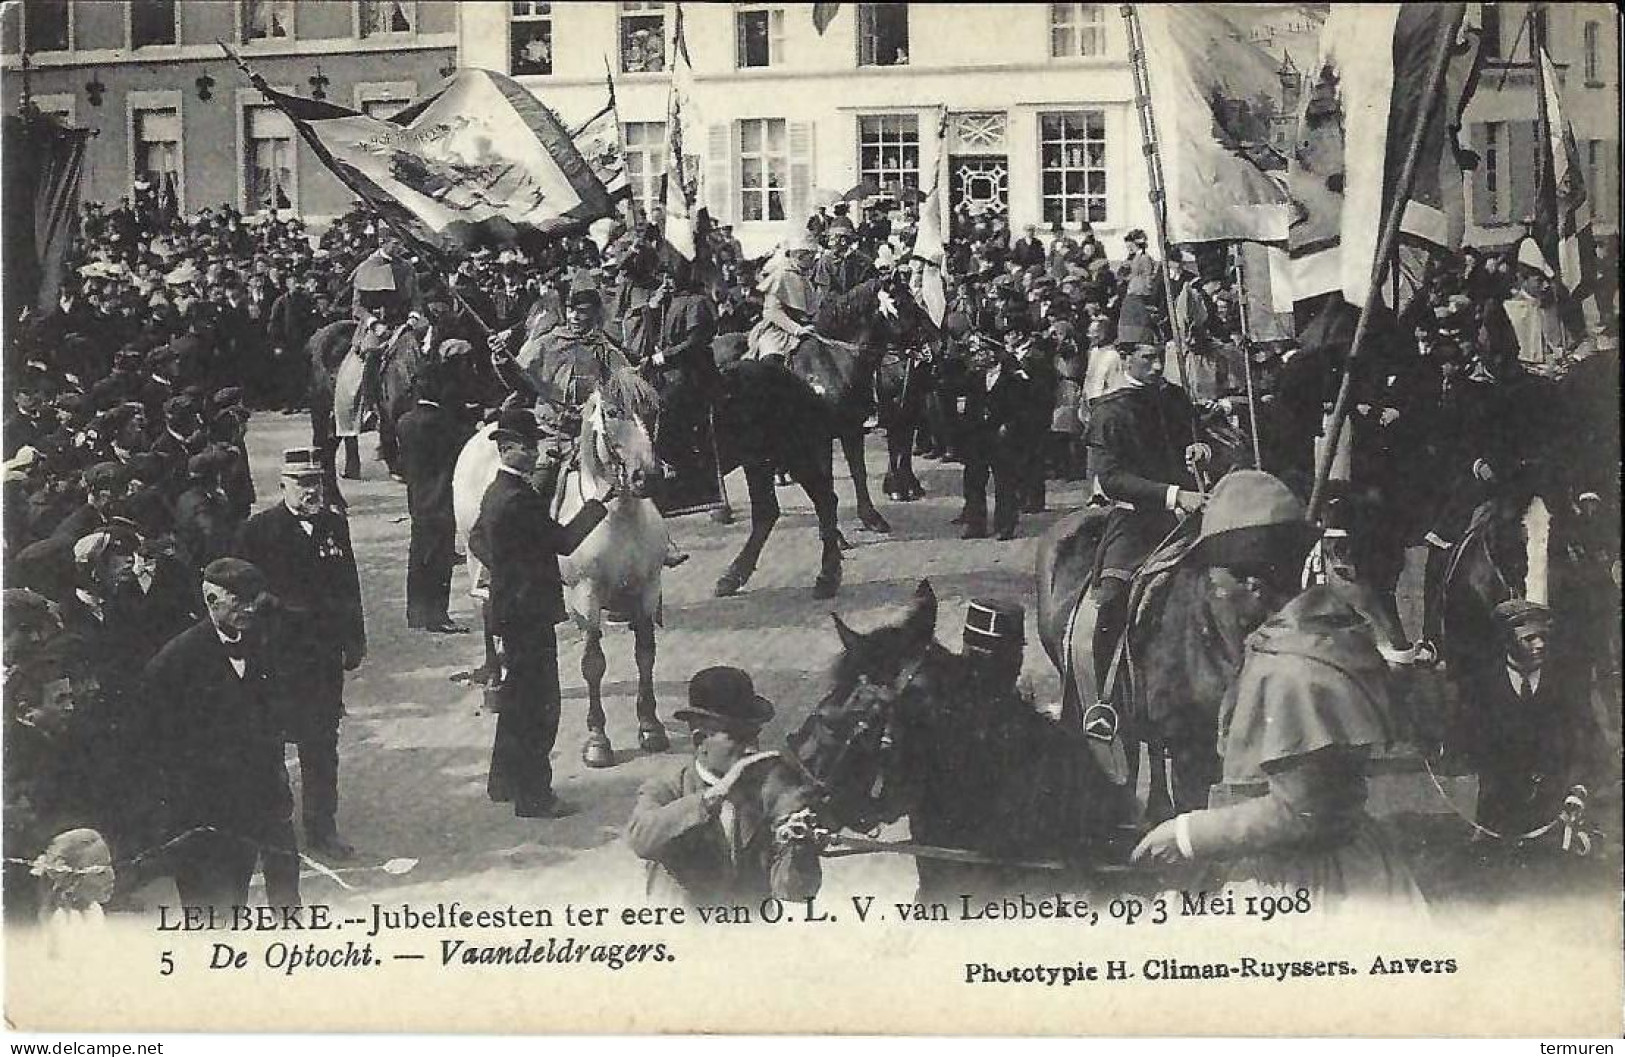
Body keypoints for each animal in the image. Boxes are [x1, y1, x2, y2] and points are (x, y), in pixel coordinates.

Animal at [451, 372, 666, 764]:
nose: (647, 476)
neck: (620, 517)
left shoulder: (647, 590)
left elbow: (645, 655)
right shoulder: (586, 597)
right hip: (476, 559)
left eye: (652, 409)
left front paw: (650, 726)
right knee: (486, 612)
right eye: (613, 412)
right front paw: (597, 741)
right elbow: (593, 664)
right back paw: (494, 685)